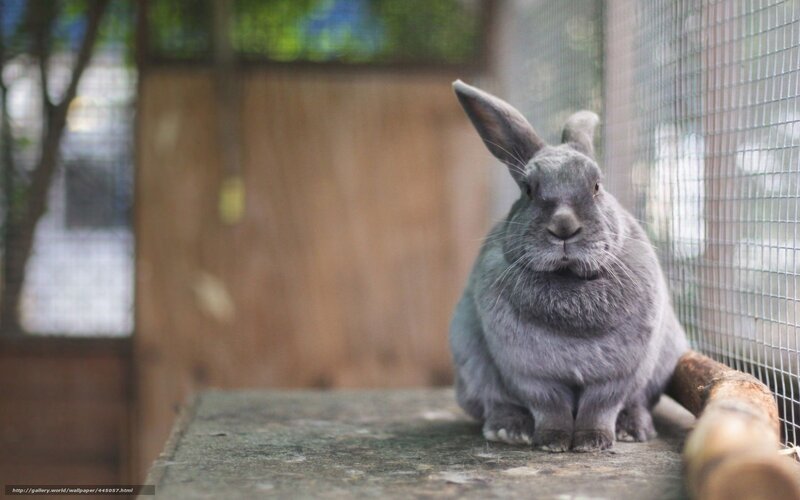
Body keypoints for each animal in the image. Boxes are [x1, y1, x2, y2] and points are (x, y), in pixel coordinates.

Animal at [449, 80, 689, 452]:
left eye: (597, 186)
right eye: (528, 189)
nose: (564, 227)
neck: (568, 279)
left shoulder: (616, 376)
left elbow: (600, 407)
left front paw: (593, 443)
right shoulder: (530, 374)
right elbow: (550, 407)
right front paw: (553, 442)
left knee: (638, 402)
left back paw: (633, 429)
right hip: (470, 362)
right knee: (495, 401)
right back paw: (509, 430)